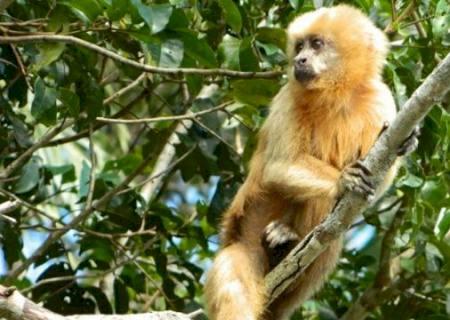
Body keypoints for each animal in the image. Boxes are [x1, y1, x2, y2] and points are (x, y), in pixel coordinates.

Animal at [204, 5, 418, 320]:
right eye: (300, 47)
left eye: (316, 44)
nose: (300, 60)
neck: (338, 92)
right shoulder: (288, 98)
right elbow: (279, 166)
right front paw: (344, 180)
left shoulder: (381, 99)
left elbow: (379, 178)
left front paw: (406, 143)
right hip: (243, 237)